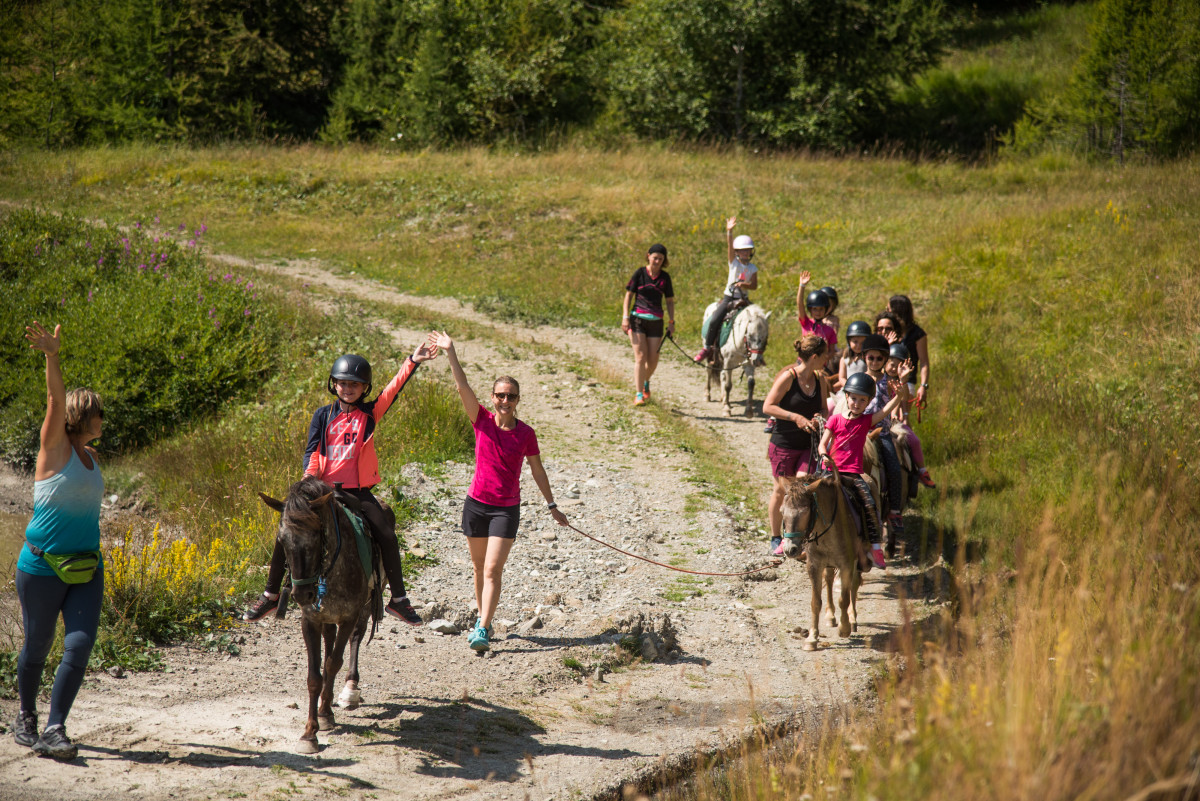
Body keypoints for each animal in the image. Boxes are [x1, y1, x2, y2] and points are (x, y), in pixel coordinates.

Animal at [260, 479, 381, 753]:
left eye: (316, 537)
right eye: (282, 542)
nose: (302, 594)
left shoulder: (348, 616)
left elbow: (333, 663)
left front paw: (324, 715)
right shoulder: (311, 621)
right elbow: (315, 676)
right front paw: (310, 732)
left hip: (365, 608)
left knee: (355, 640)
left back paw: (350, 688)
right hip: (327, 618)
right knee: (330, 643)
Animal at [777, 470, 873, 652]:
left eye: (805, 512)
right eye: (782, 511)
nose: (790, 549)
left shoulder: (847, 564)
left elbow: (844, 598)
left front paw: (844, 628)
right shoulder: (814, 565)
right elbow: (815, 602)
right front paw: (812, 638)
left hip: (856, 560)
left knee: (854, 585)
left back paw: (852, 619)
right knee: (828, 579)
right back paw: (830, 616)